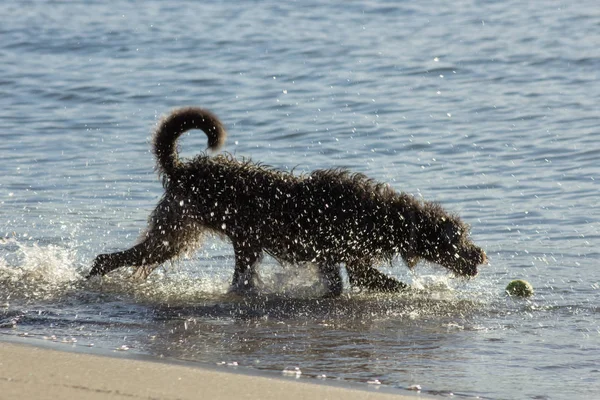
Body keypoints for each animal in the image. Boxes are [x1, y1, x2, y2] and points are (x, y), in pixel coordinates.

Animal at [86, 108, 486, 296]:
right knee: (111, 258)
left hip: (194, 237)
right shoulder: (350, 259)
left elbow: (343, 282)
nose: (480, 255)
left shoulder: (341, 260)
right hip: (185, 235)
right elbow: (384, 284)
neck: (383, 215)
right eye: (457, 237)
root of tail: (184, 170)